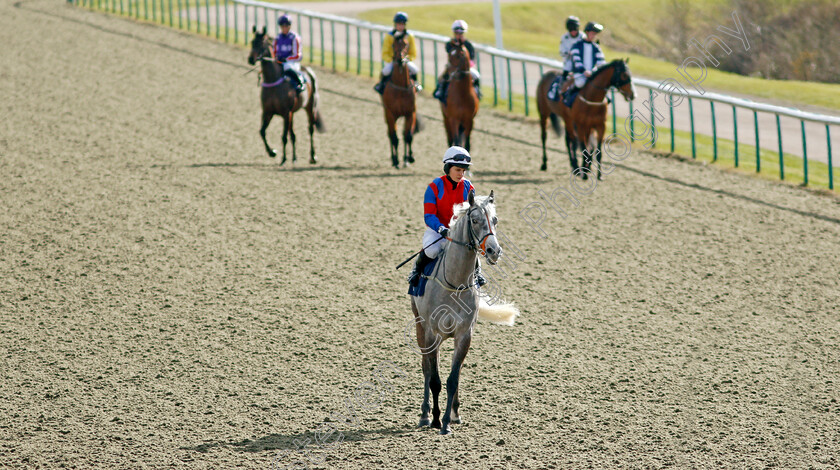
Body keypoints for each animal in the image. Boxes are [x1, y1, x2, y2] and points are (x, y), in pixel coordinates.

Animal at [248, 26, 324, 165]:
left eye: (261, 44)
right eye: (252, 42)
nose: (250, 59)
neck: (273, 82)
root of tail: (308, 71)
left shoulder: (285, 113)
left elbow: (283, 137)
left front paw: (283, 159)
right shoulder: (267, 112)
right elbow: (262, 132)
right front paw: (272, 152)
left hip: (310, 107)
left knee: (310, 129)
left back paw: (313, 156)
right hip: (292, 113)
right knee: (293, 134)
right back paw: (294, 158)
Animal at [380, 31, 424, 168]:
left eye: (406, 44)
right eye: (393, 44)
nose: (400, 59)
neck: (399, 87)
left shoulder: (410, 113)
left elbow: (408, 136)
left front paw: (408, 158)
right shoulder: (390, 113)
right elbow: (394, 137)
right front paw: (396, 160)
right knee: (390, 134)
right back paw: (394, 158)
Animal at [408, 189, 520, 436]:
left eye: (495, 220)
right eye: (475, 220)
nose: (494, 251)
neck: (454, 283)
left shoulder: (463, 334)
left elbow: (453, 379)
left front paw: (448, 421)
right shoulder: (432, 333)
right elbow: (435, 379)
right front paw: (436, 419)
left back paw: (454, 413)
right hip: (421, 327)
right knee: (426, 368)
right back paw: (424, 414)